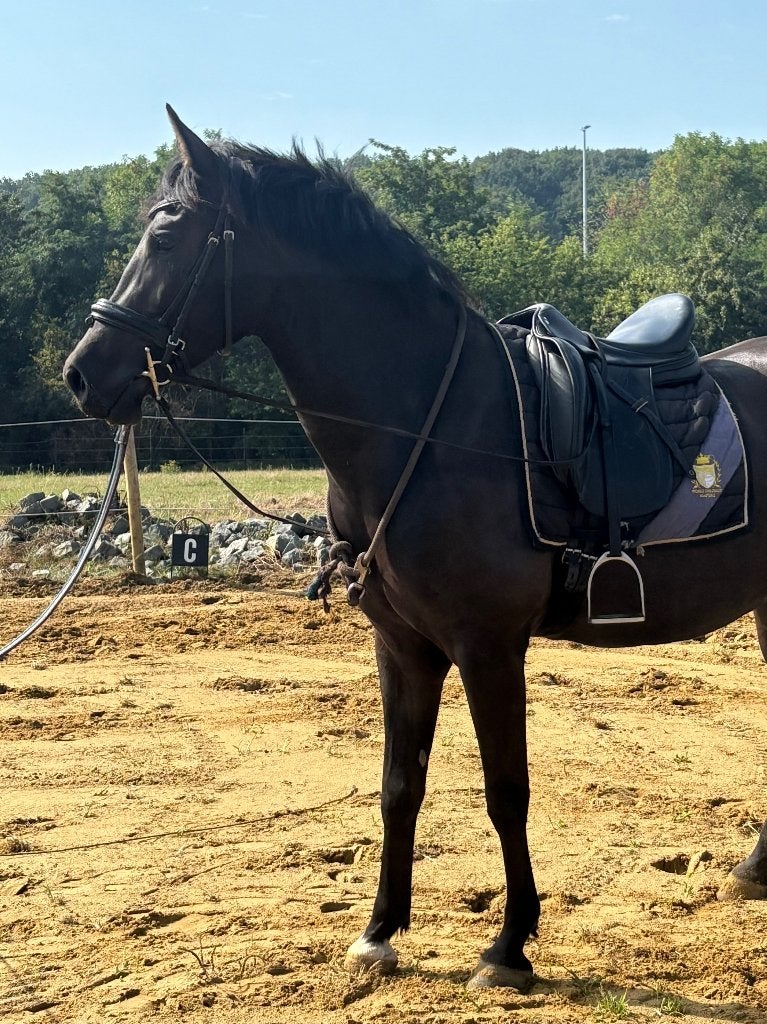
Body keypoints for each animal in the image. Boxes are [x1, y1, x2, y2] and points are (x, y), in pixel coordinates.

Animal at [63, 106, 767, 991]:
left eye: (165, 236)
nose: (82, 374)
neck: (426, 426)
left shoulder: (486, 646)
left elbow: (505, 791)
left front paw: (508, 946)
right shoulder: (402, 646)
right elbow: (400, 785)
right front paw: (378, 933)